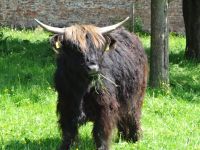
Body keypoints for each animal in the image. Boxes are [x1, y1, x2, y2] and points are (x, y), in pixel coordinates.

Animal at [35, 17, 148, 149]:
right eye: (75, 48)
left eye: (99, 47)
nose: (93, 68)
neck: (82, 87)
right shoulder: (65, 105)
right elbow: (68, 132)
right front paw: (66, 146)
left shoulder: (105, 107)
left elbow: (101, 132)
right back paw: (123, 137)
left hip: (136, 94)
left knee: (133, 114)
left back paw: (135, 138)